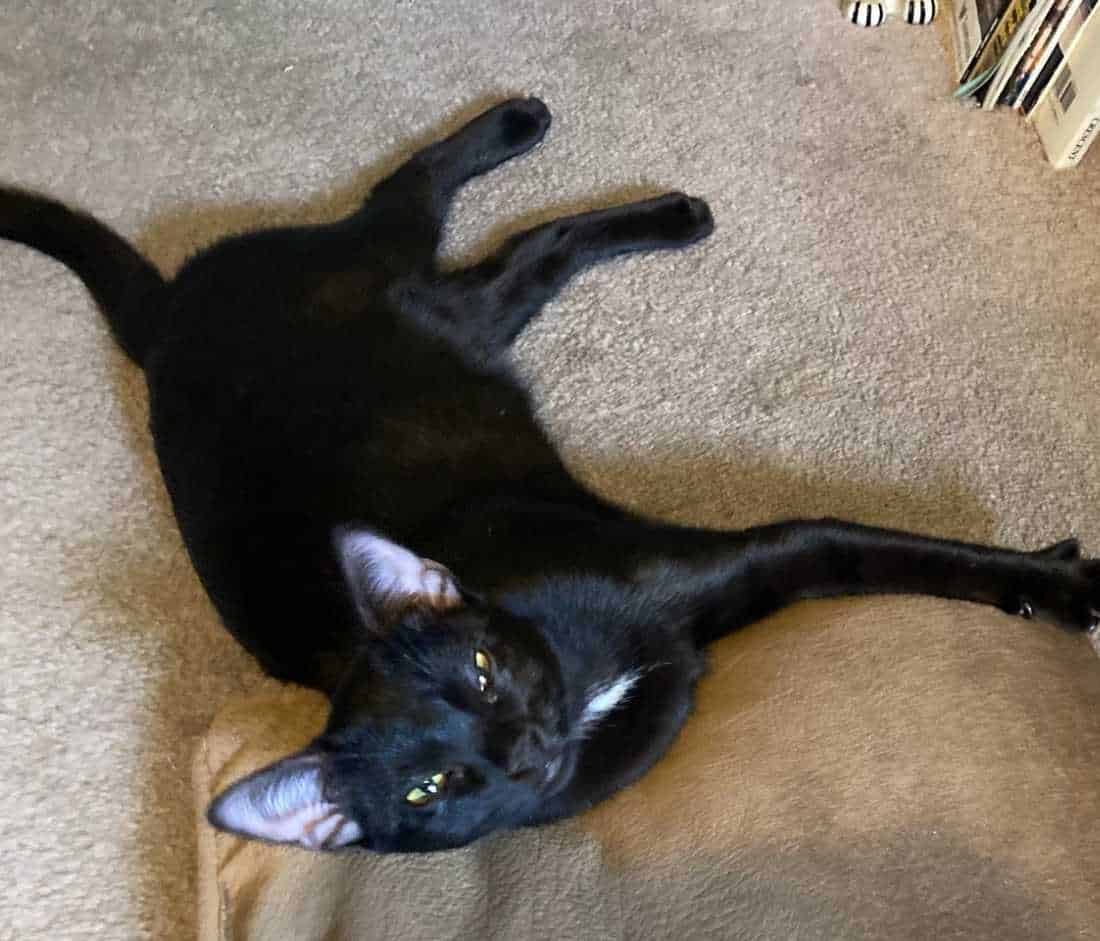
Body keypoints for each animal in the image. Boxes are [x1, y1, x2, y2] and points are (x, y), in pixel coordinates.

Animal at [2, 97, 1096, 854]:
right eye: (427, 791)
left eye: (479, 670)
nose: (519, 747)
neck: (583, 683)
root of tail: (164, 322)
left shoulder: (771, 550)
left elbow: (909, 553)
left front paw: (1061, 583)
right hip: (462, 317)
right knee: (519, 247)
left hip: (422, 289)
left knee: (453, 208)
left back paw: (552, 142)